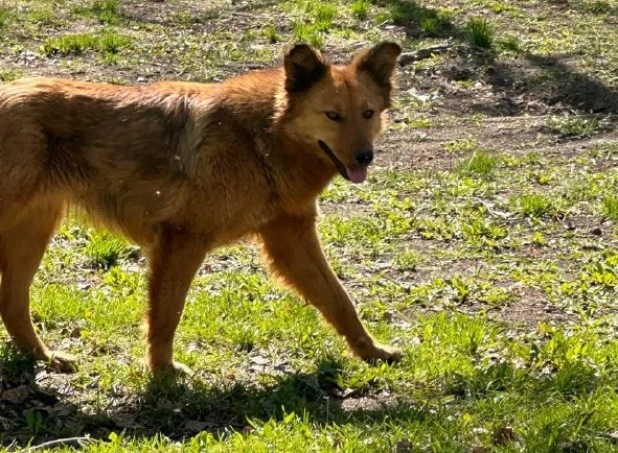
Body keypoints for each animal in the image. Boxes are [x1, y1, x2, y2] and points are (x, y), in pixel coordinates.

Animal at [0, 41, 402, 374]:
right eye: (332, 115)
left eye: (367, 113)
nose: (365, 156)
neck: (260, 139)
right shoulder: (183, 242)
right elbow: (167, 315)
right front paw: (163, 373)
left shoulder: (292, 241)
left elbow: (340, 301)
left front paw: (372, 352)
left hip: (32, 236)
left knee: (12, 304)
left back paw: (44, 357)